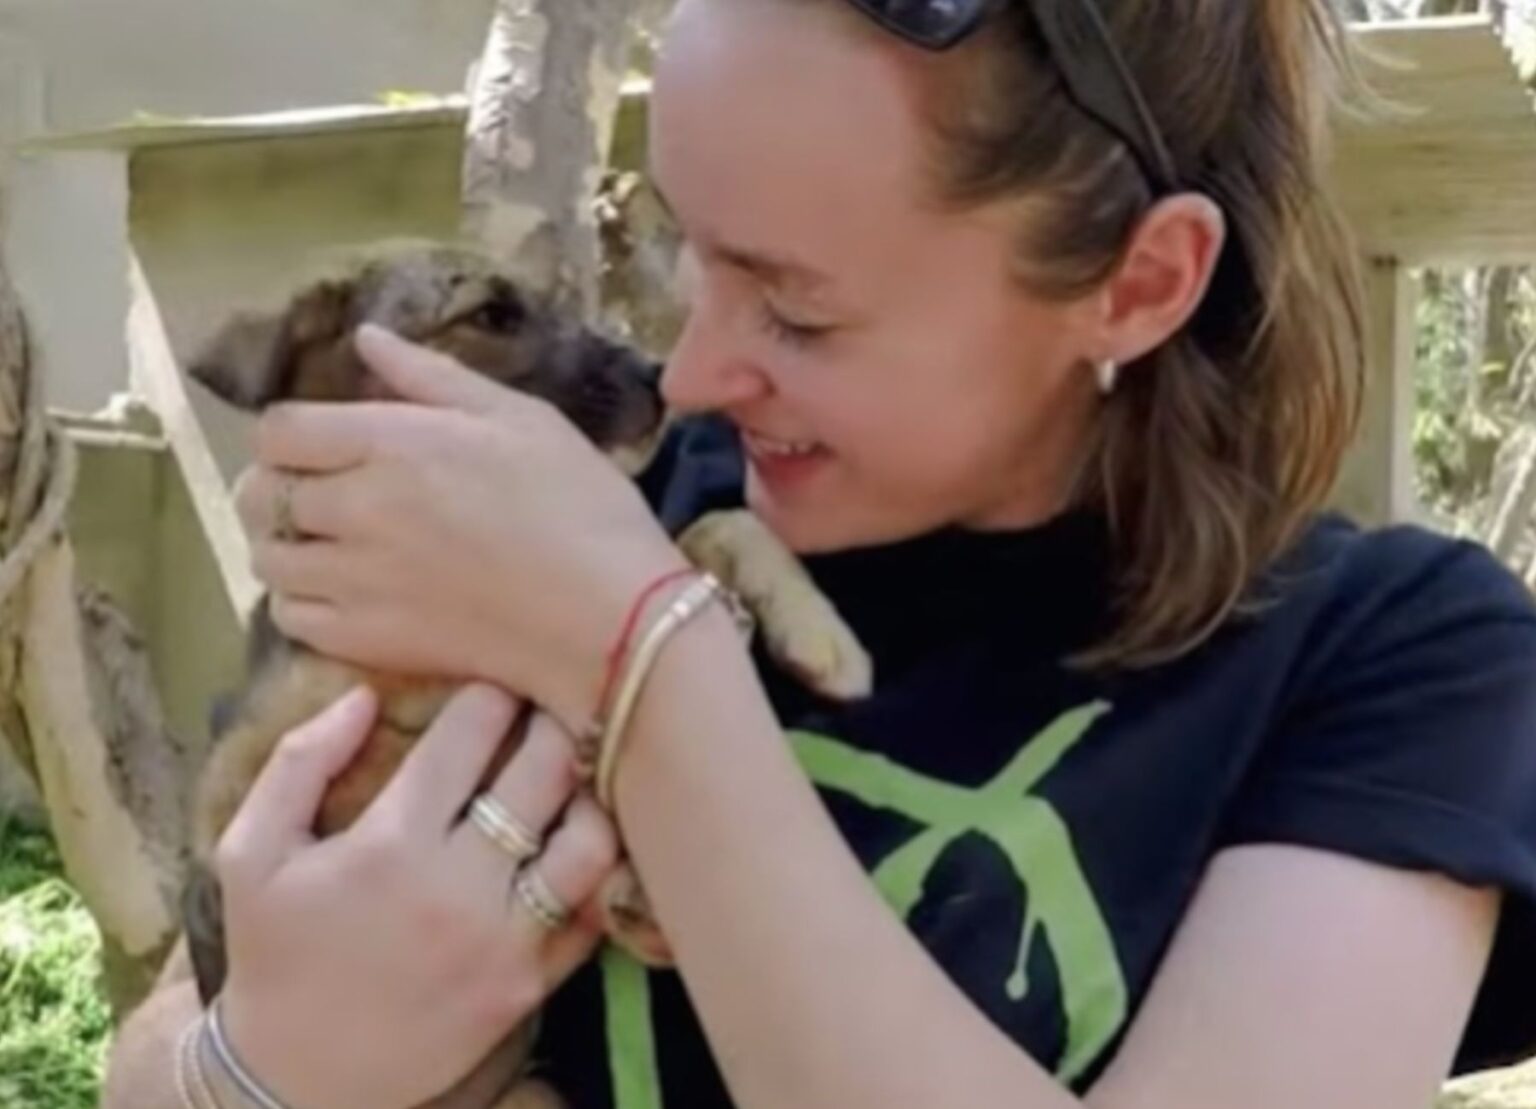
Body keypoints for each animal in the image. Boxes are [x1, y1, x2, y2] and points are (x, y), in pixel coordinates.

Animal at [179, 239, 872, 1105]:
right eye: (492, 315)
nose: (658, 377)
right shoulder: (247, 786)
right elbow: (470, 732)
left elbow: (717, 521)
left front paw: (820, 632)